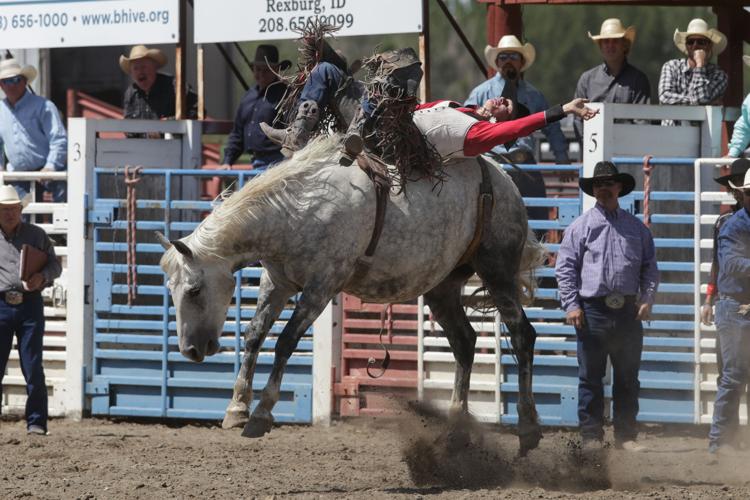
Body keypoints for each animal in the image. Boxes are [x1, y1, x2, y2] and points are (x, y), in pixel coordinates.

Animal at [159, 135, 548, 456]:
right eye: (171, 289)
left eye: (194, 290)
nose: (190, 350)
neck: (295, 210)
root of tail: (503, 178)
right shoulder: (277, 282)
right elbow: (254, 335)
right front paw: (236, 408)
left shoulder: (322, 285)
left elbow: (285, 341)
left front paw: (261, 413)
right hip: (444, 285)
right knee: (464, 342)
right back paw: (455, 432)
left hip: (497, 268)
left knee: (522, 334)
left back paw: (528, 429)